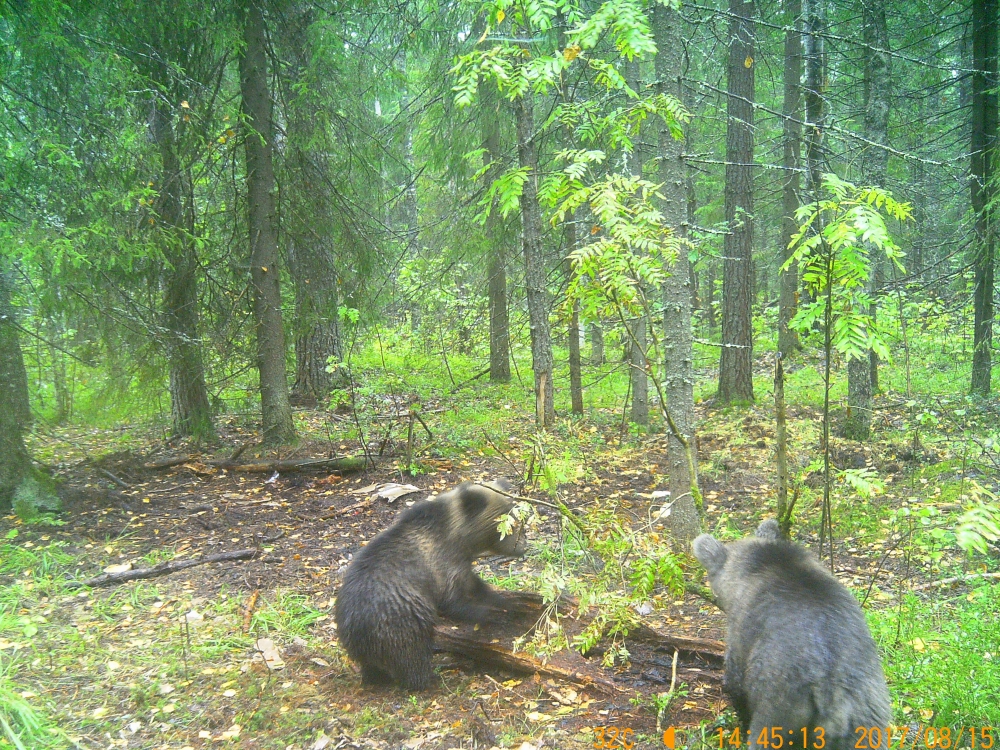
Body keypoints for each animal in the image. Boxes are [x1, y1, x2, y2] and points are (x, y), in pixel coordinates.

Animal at [334, 482, 528, 692]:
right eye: (508, 523)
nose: (523, 547)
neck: (458, 536)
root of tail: (354, 629)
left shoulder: (460, 564)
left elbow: (475, 586)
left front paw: (505, 603)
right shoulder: (442, 565)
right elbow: (455, 601)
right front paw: (493, 615)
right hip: (400, 621)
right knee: (413, 656)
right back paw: (439, 671)